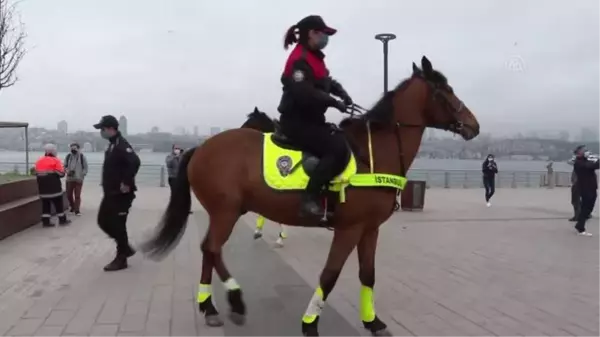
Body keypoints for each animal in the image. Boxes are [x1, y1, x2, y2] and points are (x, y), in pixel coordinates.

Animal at [141, 56, 478, 334]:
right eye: (446, 91)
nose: (473, 125)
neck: (371, 154)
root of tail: (201, 148)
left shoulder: (370, 229)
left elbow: (367, 274)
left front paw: (373, 321)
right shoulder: (349, 228)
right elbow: (329, 275)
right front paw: (310, 322)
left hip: (227, 211)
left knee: (209, 250)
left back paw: (209, 305)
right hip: (226, 211)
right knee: (211, 248)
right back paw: (234, 300)